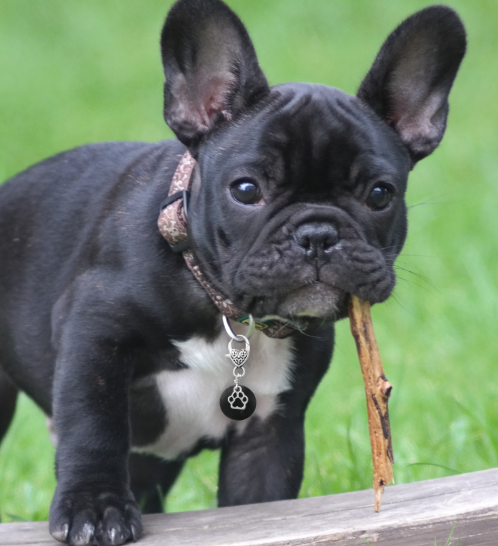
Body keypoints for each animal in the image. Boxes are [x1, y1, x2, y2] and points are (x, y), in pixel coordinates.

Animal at [0, 0, 466, 540]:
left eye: (379, 194)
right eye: (246, 190)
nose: (318, 234)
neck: (225, 310)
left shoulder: (270, 431)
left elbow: (257, 500)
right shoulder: (93, 332)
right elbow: (94, 425)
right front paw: (95, 508)